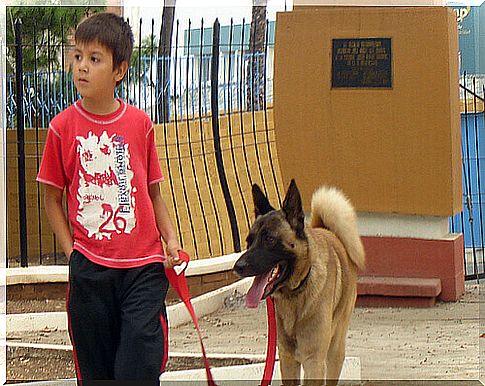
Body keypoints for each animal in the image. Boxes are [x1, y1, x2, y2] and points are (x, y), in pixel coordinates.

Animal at [233, 179, 364, 384]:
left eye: (269, 239)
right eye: (249, 241)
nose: (238, 266)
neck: (295, 293)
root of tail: (327, 230)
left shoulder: (314, 361)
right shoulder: (287, 360)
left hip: (335, 351)